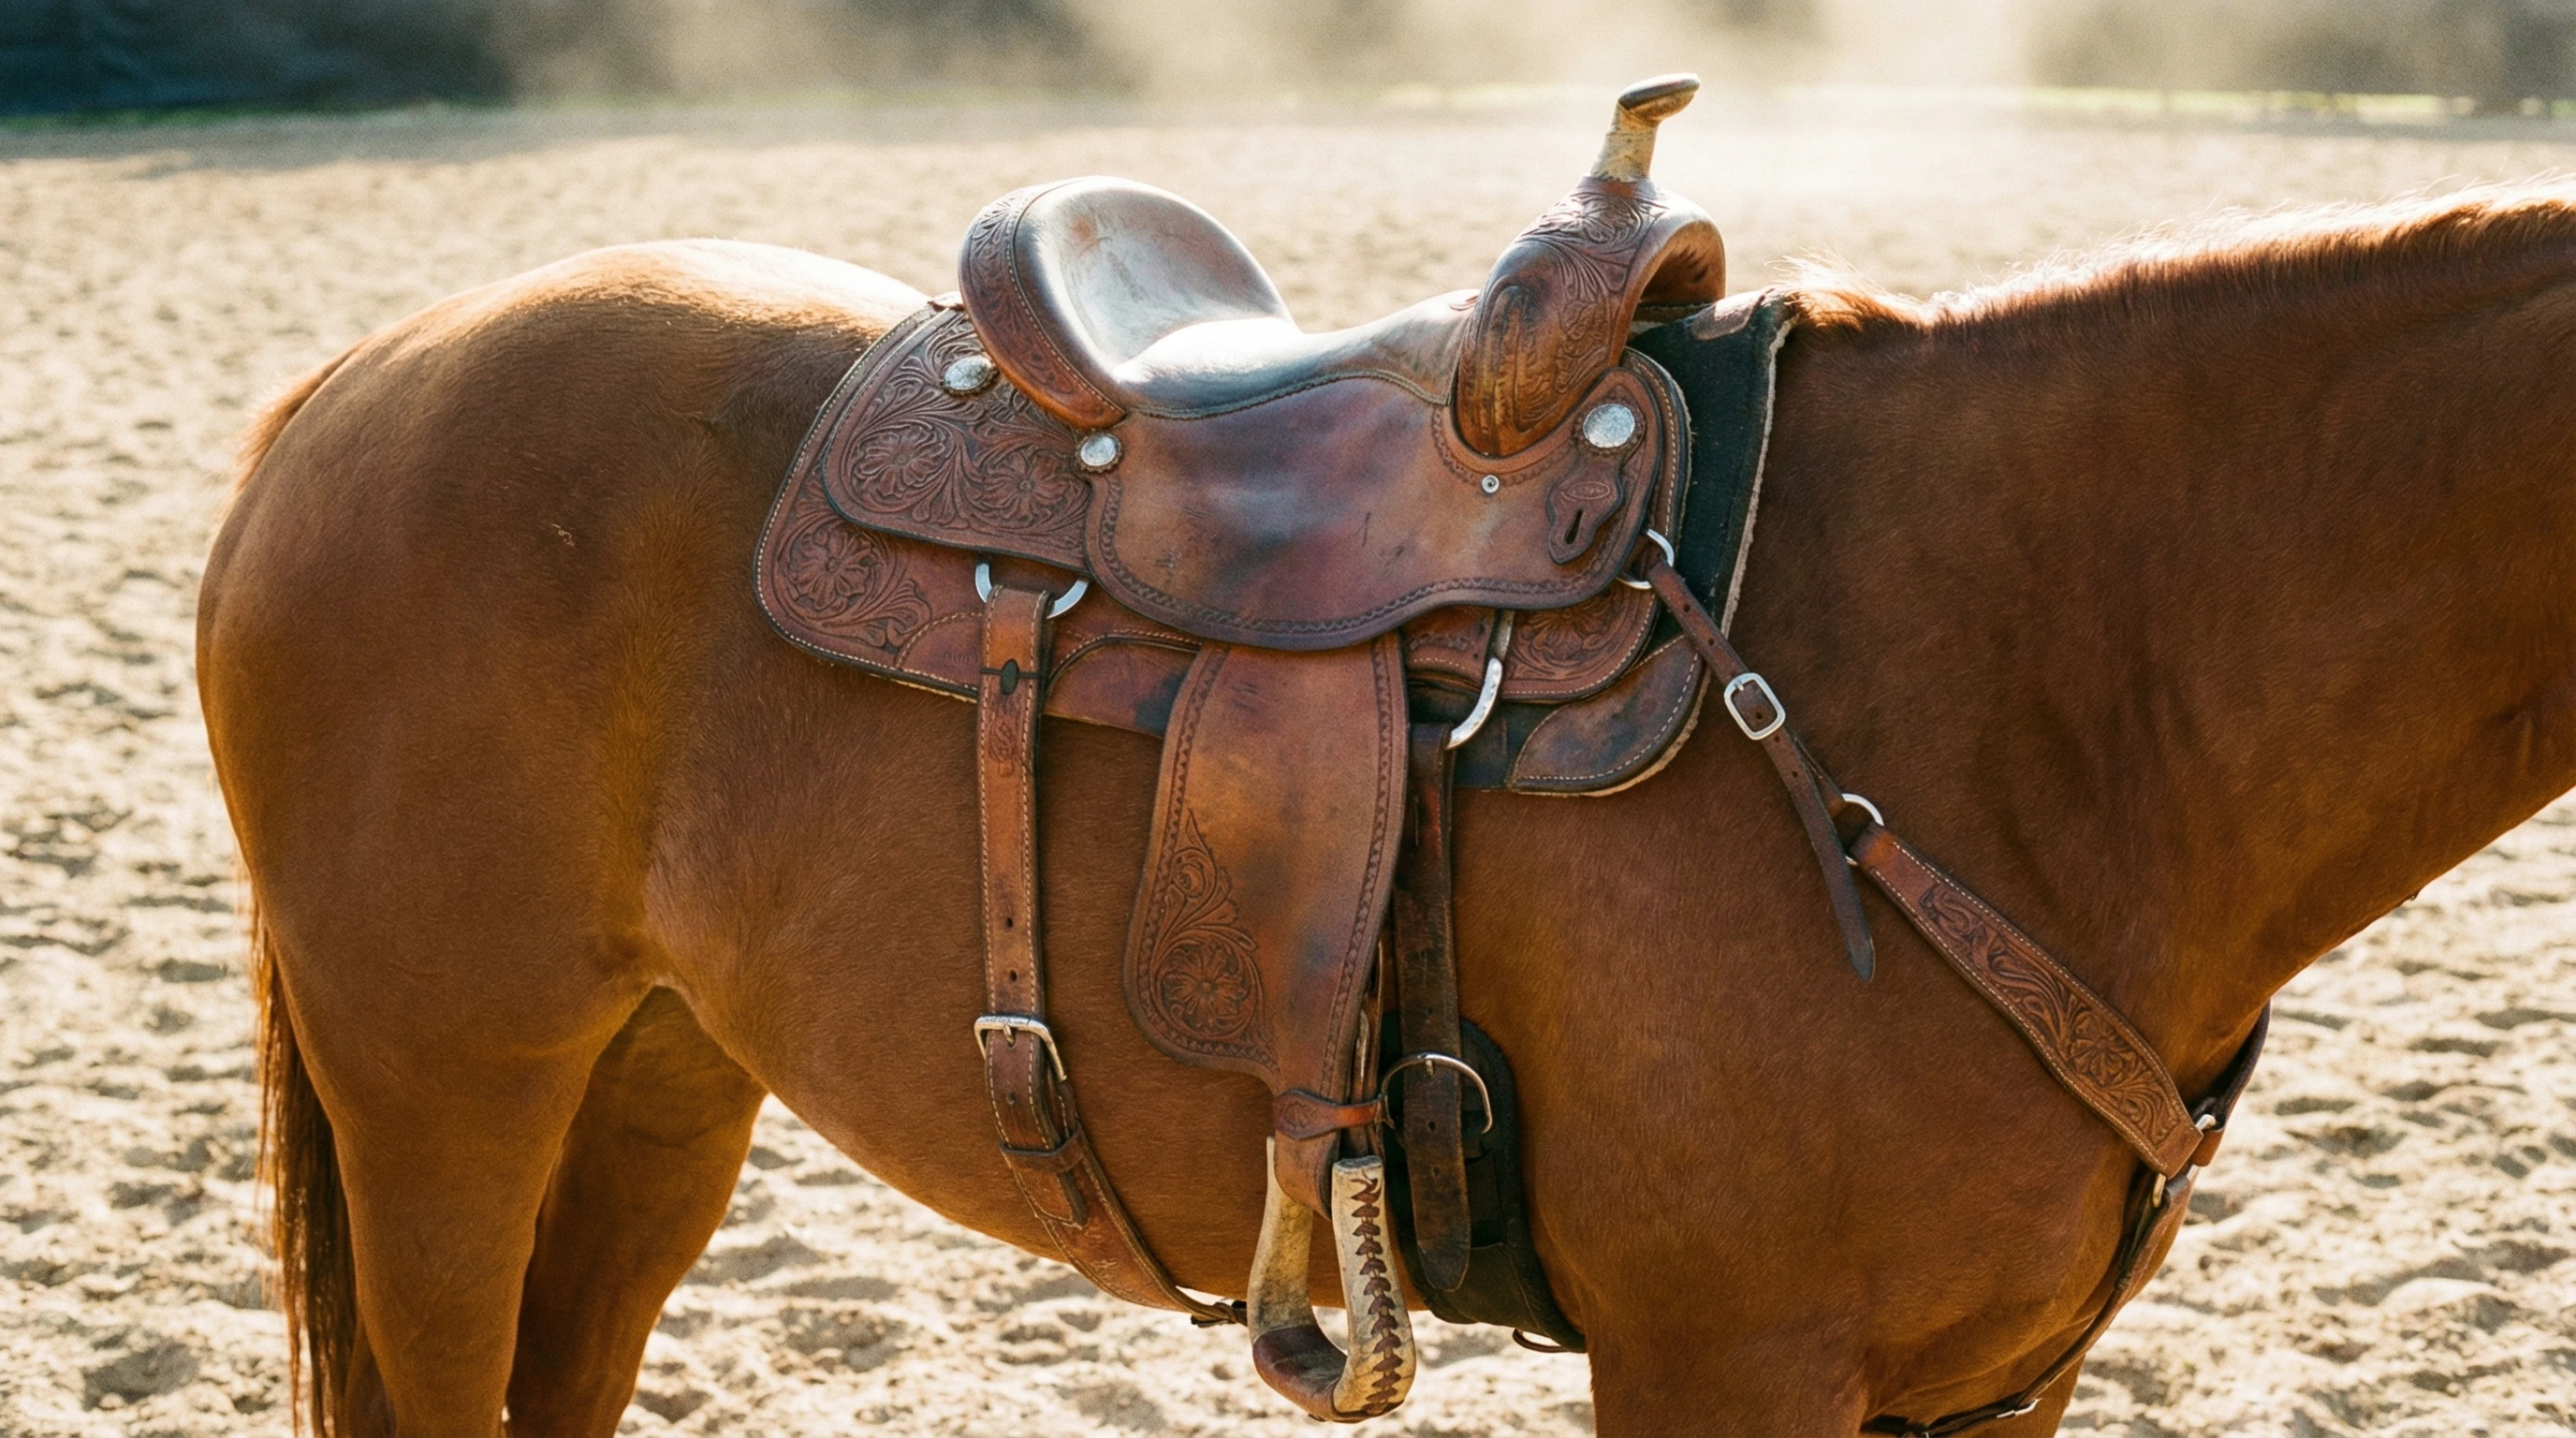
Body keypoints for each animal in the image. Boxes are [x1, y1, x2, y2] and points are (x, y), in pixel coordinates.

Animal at [196, 185, 2576, 1435]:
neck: (2048, 671)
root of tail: (358, 381)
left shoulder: (1994, 1390)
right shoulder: (1724, 1363)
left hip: (656, 1081)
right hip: (446, 1094)